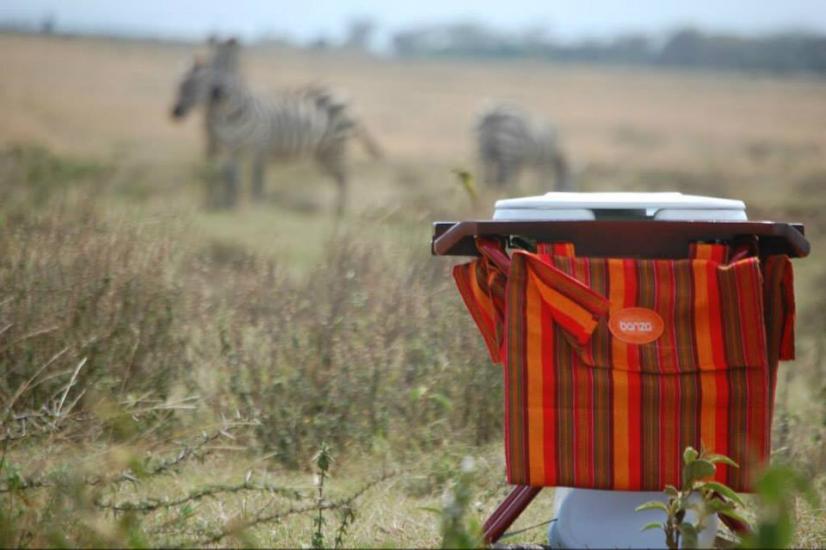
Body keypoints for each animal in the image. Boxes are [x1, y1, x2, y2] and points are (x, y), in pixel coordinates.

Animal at [171, 42, 384, 212]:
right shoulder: (229, 147)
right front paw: (227, 205)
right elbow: (230, 177)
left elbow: (256, 180)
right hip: (323, 150)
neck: (231, 114)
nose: (175, 113)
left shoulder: (259, 145)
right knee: (338, 176)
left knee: (344, 175)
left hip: (336, 145)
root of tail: (345, 94)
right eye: (179, 85)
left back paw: (340, 211)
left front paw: (255, 207)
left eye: (194, 85)